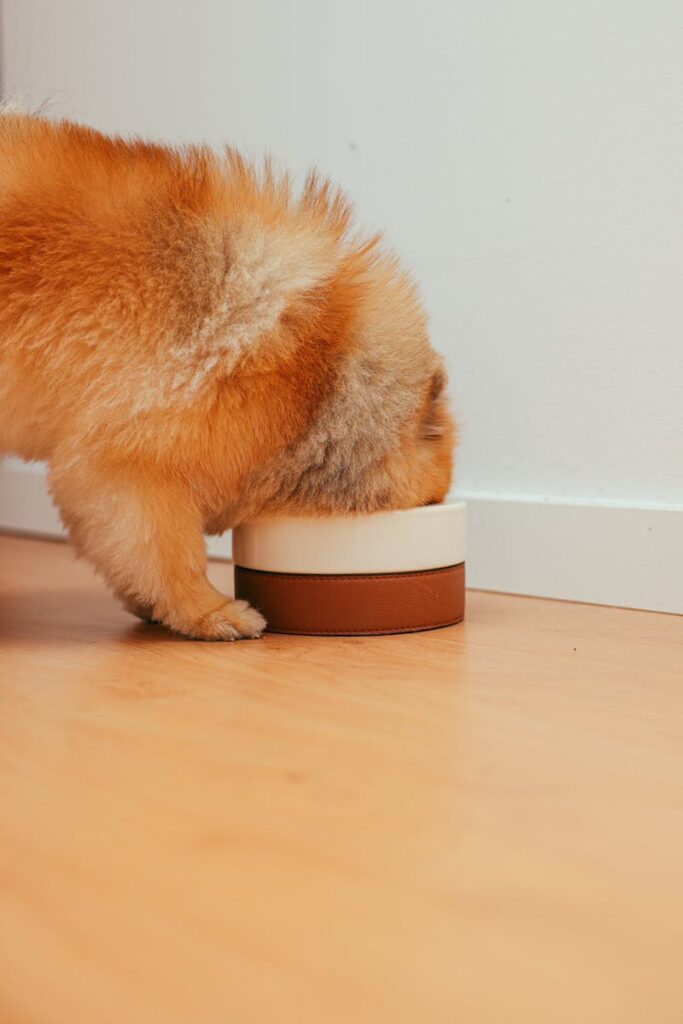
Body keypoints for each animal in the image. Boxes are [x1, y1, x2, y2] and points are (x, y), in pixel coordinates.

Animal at [2, 114, 456, 638]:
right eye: (431, 501)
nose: (439, 505)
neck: (318, 378)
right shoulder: (128, 467)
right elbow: (169, 555)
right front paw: (208, 612)